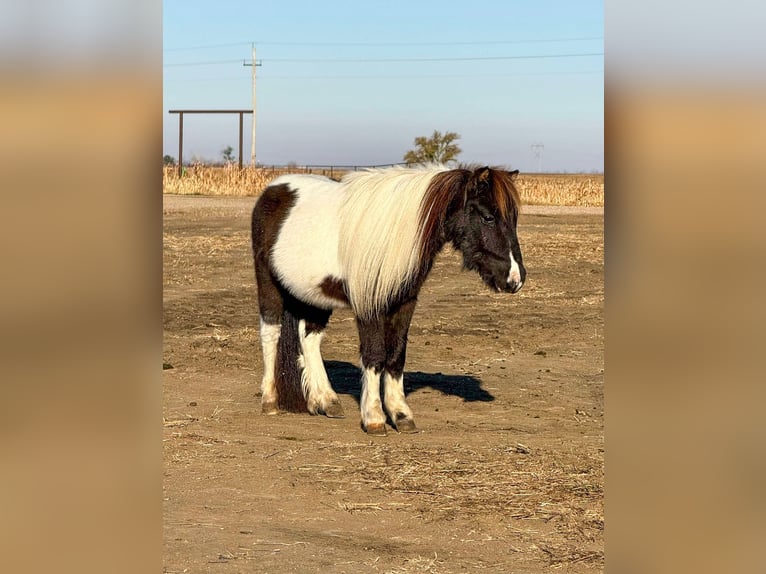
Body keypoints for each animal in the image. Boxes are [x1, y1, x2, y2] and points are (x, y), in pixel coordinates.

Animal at [252, 163, 528, 436]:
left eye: (515, 218)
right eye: (488, 217)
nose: (516, 277)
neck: (393, 236)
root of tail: (274, 189)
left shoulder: (405, 302)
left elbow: (396, 356)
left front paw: (401, 414)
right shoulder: (369, 305)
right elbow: (374, 356)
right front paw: (374, 417)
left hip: (315, 297)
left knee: (310, 339)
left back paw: (325, 401)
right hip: (268, 285)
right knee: (271, 333)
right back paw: (270, 401)